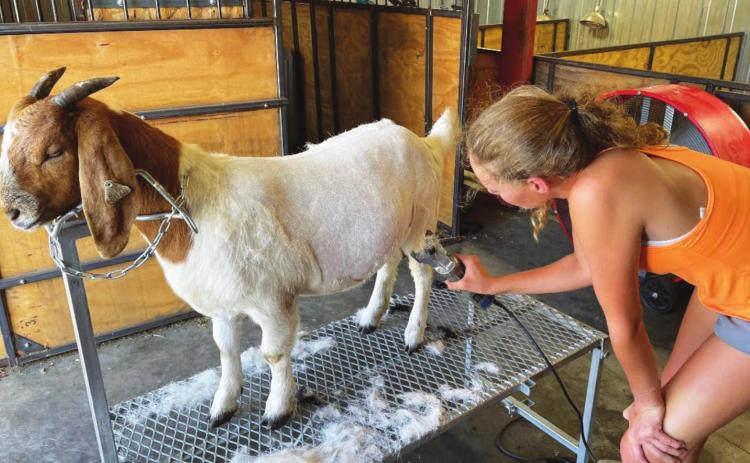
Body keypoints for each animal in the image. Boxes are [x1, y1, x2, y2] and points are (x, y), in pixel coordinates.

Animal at [0, 68, 459, 428]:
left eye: (54, 151)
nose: (13, 212)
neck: (194, 207)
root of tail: (425, 142)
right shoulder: (221, 301)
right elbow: (225, 350)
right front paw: (223, 405)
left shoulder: (274, 299)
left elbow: (273, 353)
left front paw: (277, 410)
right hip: (390, 229)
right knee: (387, 264)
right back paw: (370, 316)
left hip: (421, 225)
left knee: (422, 275)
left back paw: (413, 334)